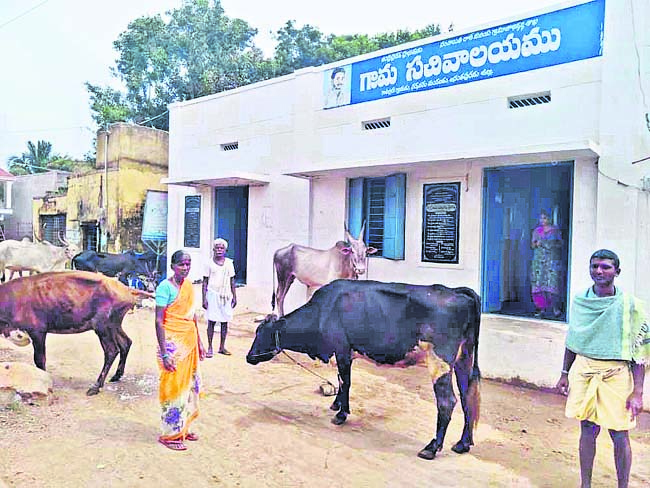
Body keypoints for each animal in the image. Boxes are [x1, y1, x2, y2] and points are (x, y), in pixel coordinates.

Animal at [0, 270, 153, 396]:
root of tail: (126, 289)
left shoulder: (37, 331)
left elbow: (39, 359)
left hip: (102, 326)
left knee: (111, 350)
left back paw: (96, 386)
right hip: (114, 325)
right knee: (126, 342)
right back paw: (116, 376)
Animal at [246, 280, 478, 460]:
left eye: (262, 334)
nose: (248, 357)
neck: (323, 311)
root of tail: (456, 292)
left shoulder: (341, 350)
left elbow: (345, 381)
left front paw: (341, 414)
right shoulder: (344, 354)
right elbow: (341, 381)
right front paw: (336, 404)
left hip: (439, 361)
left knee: (447, 401)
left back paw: (431, 448)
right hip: (464, 359)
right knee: (468, 396)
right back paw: (462, 444)